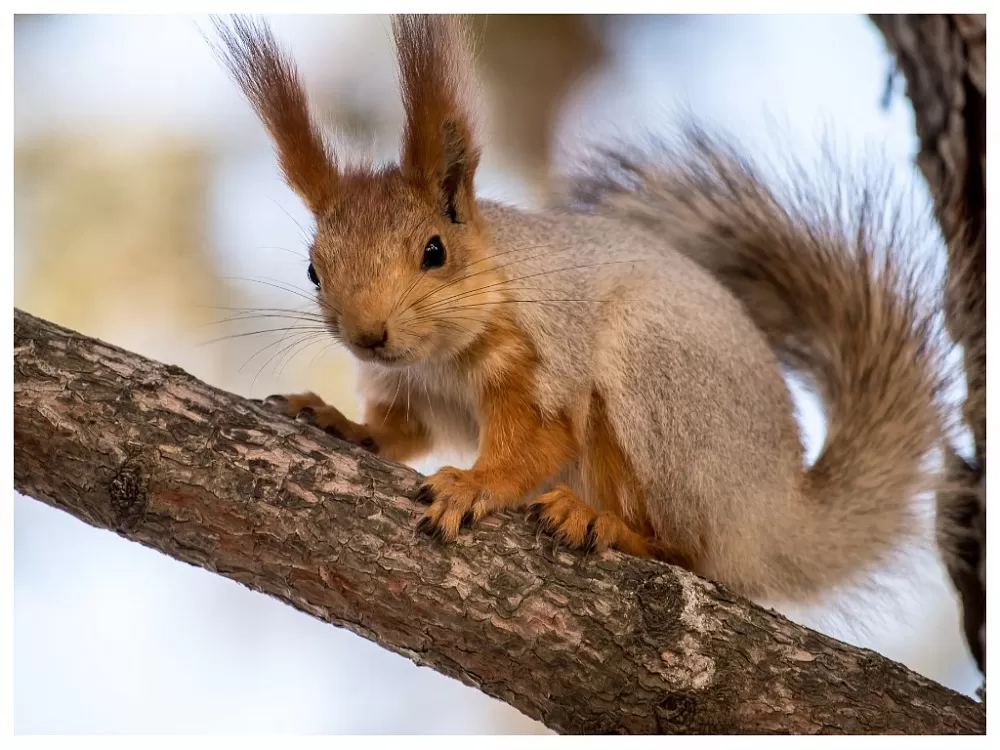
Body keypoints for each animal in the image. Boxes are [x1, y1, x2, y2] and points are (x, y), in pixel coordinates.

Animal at [211, 13, 952, 604]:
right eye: (314, 269)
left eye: (434, 250)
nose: (367, 335)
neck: (439, 357)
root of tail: (776, 517)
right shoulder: (411, 389)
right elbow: (401, 434)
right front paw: (338, 420)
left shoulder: (541, 361)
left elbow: (540, 442)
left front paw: (475, 483)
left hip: (659, 383)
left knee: (693, 552)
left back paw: (604, 523)